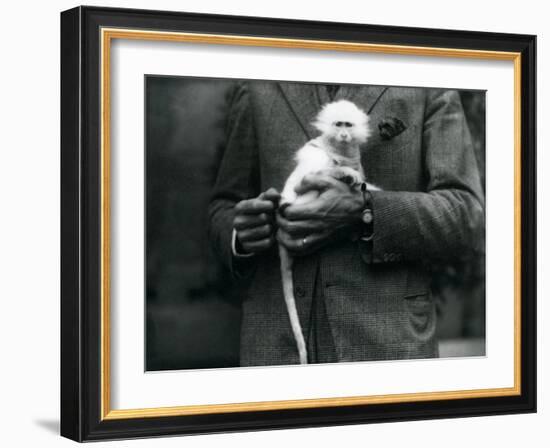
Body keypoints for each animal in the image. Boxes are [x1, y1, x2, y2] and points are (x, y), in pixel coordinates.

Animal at [278, 99, 382, 364]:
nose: (344, 135)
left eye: (349, 125)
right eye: (338, 125)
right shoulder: (316, 152)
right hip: (298, 202)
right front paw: (344, 175)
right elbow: (314, 172)